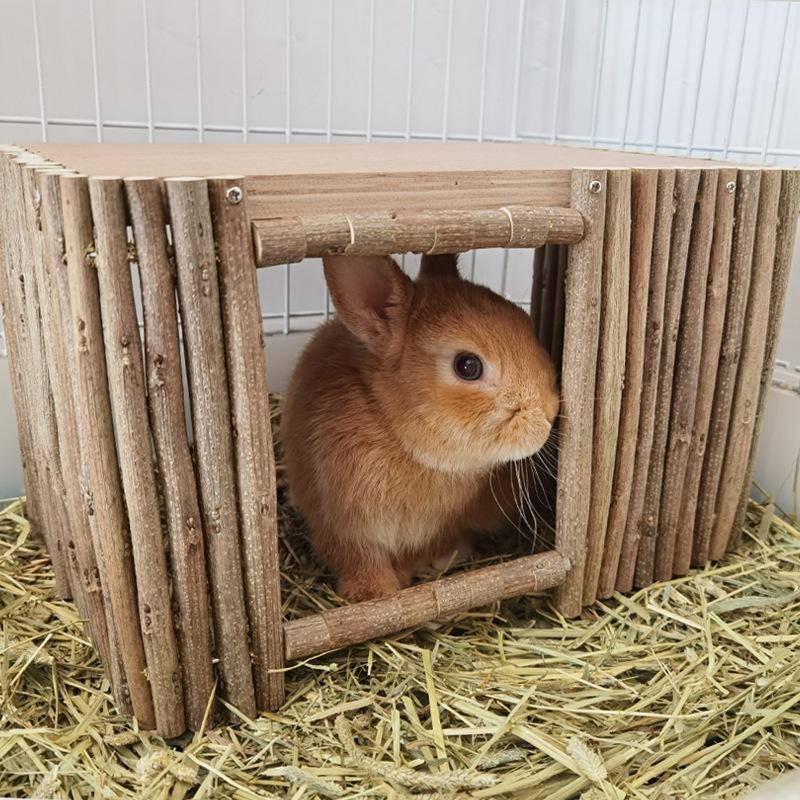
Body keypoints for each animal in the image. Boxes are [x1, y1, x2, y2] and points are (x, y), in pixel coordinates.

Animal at [281, 252, 559, 602]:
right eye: (468, 366)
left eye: (525, 320)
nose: (550, 413)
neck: (400, 439)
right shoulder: (341, 521)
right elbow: (358, 557)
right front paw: (373, 593)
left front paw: (416, 569)